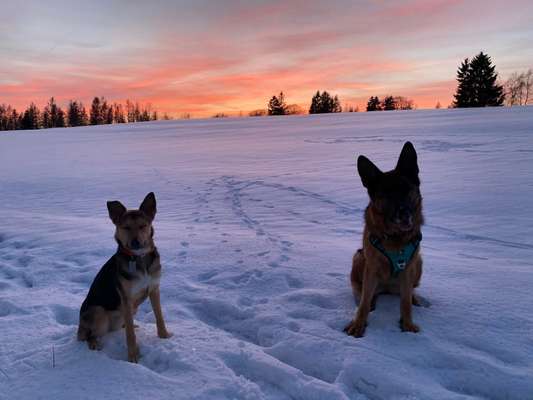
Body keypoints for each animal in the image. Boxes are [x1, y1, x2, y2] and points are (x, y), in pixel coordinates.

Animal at [77, 193, 170, 362]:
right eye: (126, 227)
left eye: (142, 226)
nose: (135, 242)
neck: (139, 259)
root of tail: (80, 327)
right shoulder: (126, 298)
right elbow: (130, 335)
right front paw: (133, 356)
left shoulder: (154, 289)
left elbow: (159, 317)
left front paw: (164, 337)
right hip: (99, 312)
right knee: (89, 335)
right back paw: (94, 344)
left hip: (131, 310)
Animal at [344, 142, 424, 336]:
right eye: (386, 195)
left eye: (406, 189)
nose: (404, 214)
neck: (396, 238)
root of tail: (387, 288)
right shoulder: (371, 268)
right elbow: (364, 303)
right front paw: (358, 325)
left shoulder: (408, 269)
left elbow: (405, 303)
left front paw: (408, 325)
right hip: (359, 258)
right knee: (364, 293)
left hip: (418, 262)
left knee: (408, 293)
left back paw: (415, 298)